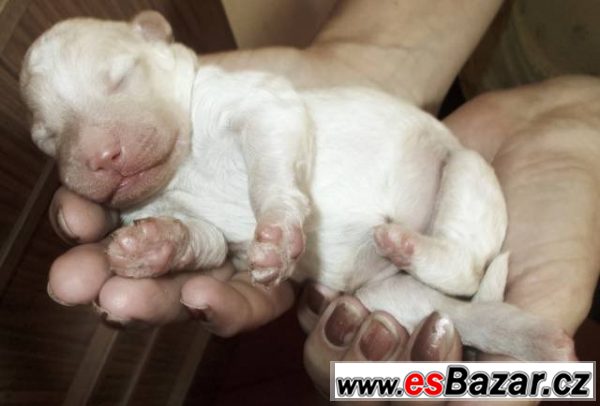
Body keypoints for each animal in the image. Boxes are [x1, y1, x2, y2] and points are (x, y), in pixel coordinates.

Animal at [21, 11, 576, 362]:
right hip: (387, 298)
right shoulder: (199, 226)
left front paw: (277, 235)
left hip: (464, 169)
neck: (184, 168)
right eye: (49, 136)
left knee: (464, 264)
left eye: (121, 77)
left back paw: (408, 242)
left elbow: (271, 176)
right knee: (458, 311)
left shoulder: (260, 105)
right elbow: (203, 239)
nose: (99, 155)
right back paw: (539, 340)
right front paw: (151, 246)